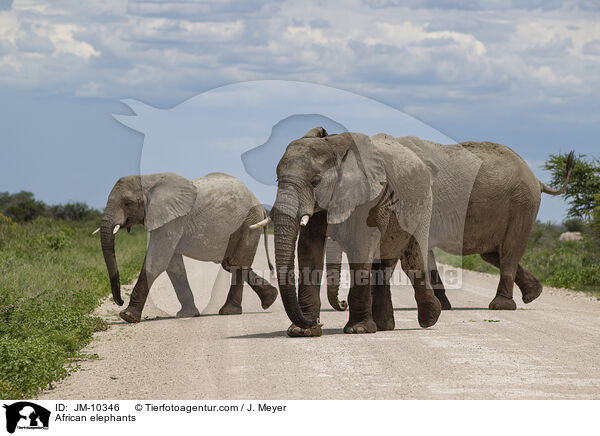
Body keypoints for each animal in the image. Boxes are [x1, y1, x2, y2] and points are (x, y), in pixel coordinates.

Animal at [95, 172, 278, 322]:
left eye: (127, 203)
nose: (120, 301)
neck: (149, 179)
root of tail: (261, 206)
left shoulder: (173, 220)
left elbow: (157, 262)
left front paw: (127, 316)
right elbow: (173, 266)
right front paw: (188, 314)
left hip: (249, 222)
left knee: (236, 263)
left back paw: (229, 312)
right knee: (230, 263)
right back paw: (270, 299)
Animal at [272, 126, 440, 338]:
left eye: (315, 181)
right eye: (277, 179)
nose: (320, 322)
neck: (334, 146)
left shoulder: (371, 197)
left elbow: (361, 246)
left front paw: (358, 330)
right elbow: (308, 248)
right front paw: (303, 331)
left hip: (425, 205)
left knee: (413, 261)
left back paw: (429, 318)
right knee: (383, 265)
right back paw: (384, 325)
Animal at [328, 135, 576, 310]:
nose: (344, 304)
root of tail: (537, 179)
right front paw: (443, 306)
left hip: (522, 203)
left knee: (509, 250)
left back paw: (500, 305)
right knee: (493, 253)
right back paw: (533, 294)